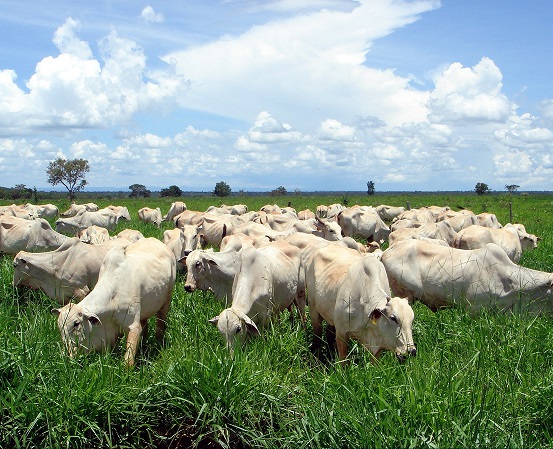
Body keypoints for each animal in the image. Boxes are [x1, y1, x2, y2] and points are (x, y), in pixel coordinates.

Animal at [51, 236, 176, 366]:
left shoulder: (132, 326)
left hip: (167, 300)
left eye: (76, 323)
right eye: (60, 326)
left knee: (160, 324)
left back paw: (159, 344)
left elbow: (128, 358)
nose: (68, 354)